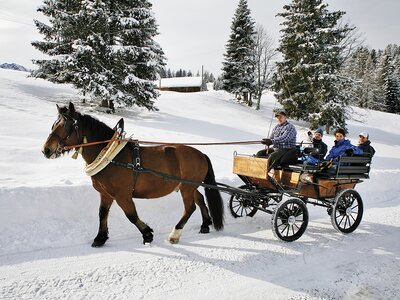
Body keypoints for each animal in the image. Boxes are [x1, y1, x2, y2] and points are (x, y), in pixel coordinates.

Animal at [43, 102, 225, 245]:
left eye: (66, 126)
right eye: (53, 125)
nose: (46, 150)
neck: (110, 156)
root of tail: (201, 154)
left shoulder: (122, 195)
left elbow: (131, 215)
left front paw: (147, 234)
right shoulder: (106, 194)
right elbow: (102, 213)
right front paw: (100, 238)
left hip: (187, 187)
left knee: (190, 208)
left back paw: (175, 234)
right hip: (188, 186)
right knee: (200, 200)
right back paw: (205, 224)